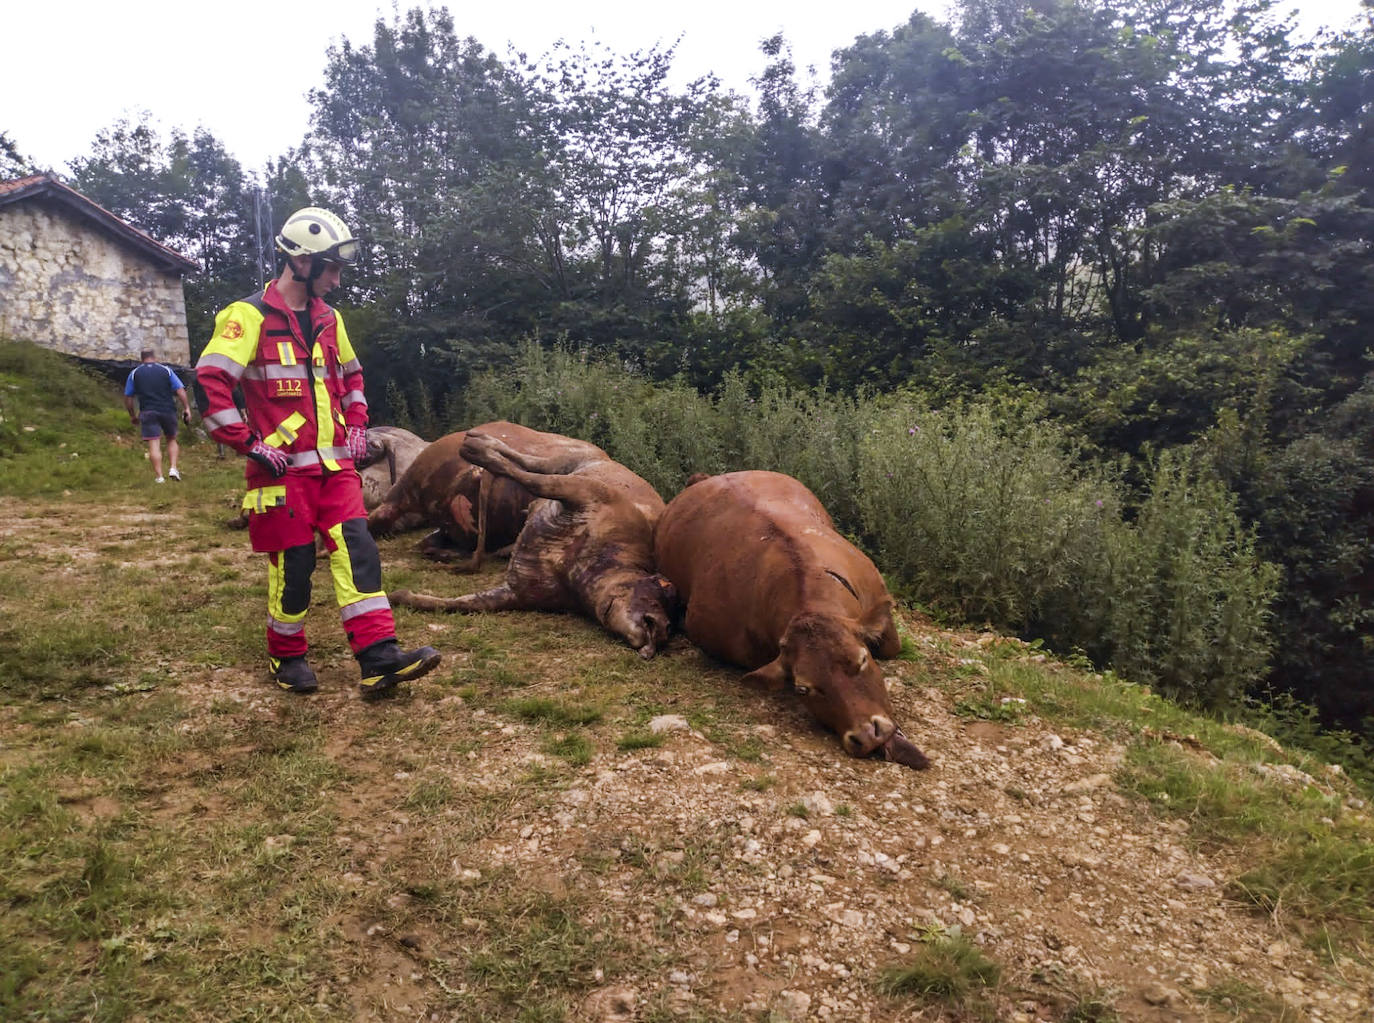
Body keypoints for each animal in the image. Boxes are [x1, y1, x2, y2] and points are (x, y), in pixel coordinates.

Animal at [390, 420, 673, 653]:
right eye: (662, 592)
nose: (660, 630)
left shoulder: (513, 593)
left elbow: (451, 603)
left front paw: (399, 596)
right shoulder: (582, 491)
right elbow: (533, 479)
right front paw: (482, 453)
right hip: (566, 461)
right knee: (526, 462)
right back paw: (479, 443)